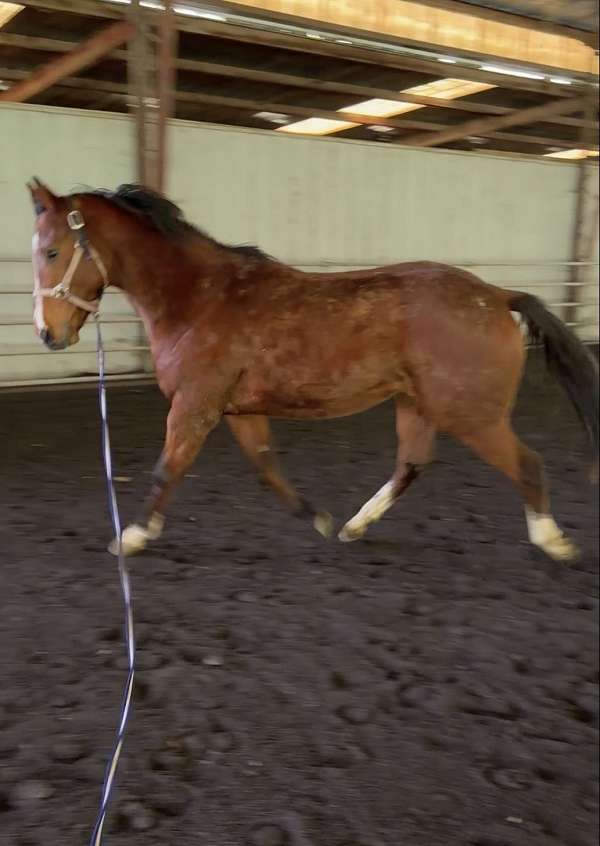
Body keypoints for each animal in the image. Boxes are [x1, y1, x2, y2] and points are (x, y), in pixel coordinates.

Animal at [28, 178, 598, 563]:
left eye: (52, 250)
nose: (48, 334)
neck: (198, 298)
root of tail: (497, 296)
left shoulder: (194, 406)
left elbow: (168, 469)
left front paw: (133, 536)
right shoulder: (238, 411)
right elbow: (267, 468)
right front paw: (319, 519)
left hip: (473, 414)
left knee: (527, 465)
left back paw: (553, 541)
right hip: (416, 404)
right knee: (412, 464)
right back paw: (354, 527)